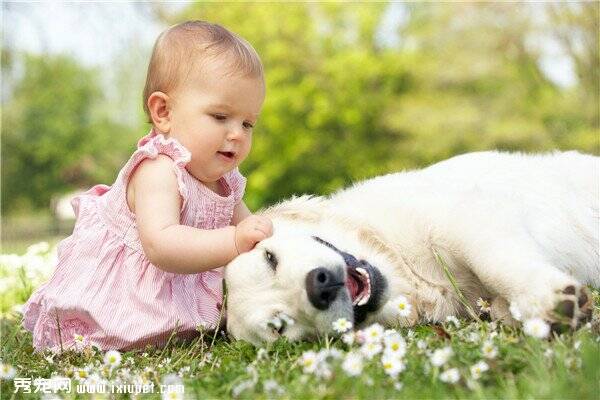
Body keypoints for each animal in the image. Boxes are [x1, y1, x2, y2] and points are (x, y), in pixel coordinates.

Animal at [224, 151, 596, 344]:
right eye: (279, 326)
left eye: (270, 258)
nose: (320, 287)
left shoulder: (465, 215)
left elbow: (494, 262)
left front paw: (546, 298)